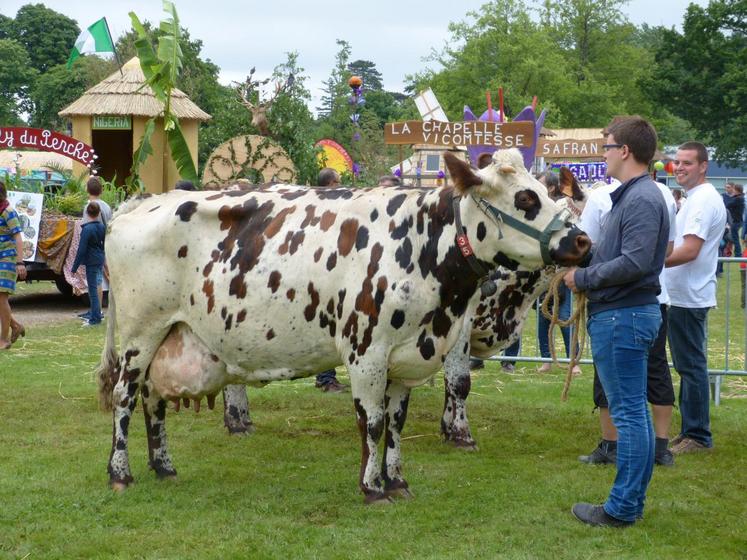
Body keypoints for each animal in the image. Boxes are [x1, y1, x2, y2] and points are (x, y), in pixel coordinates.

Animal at [99, 149, 592, 504]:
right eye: (526, 199)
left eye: (550, 194)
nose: (582, 240)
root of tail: (141, 201)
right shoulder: (367, 352)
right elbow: (372, 422)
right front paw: (372, 488)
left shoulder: (407, 356)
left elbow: (396, 422)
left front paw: (397, 481)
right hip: (141, 333)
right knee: (125, 396)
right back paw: (120, 473)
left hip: (172, 335)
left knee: (154, 399)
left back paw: (163, 466)